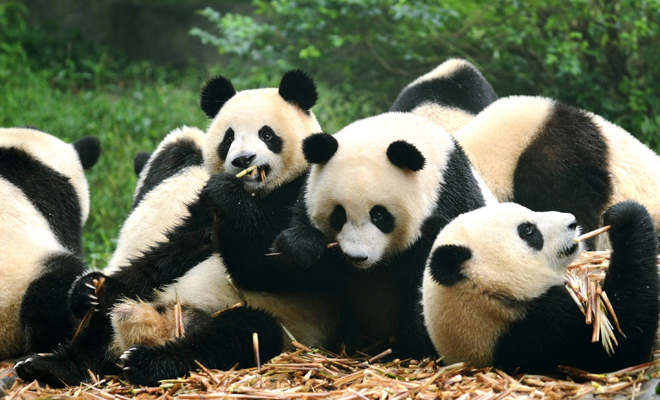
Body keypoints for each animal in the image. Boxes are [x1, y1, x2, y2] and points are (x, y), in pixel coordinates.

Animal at [15, 69, 340, 388]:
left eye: (267, 134)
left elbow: (267, 267)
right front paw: (89, 287)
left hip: (279, 321)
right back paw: (52, 365)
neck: (256, 192)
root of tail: (167, 323)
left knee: (235, 337)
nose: (243, 160)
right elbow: (169, 254)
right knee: (101, 325)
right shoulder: (200, 218)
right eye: (229, 138)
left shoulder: (302, 197)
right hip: (153, 299)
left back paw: (148, 363)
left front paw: (225, 194)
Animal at [272, 111, 496, 356]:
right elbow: (307, 280)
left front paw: (411, 348)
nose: (357, 256)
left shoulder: (449, 201)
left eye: (379, 215)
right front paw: (302, 247)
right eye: (338, 215)